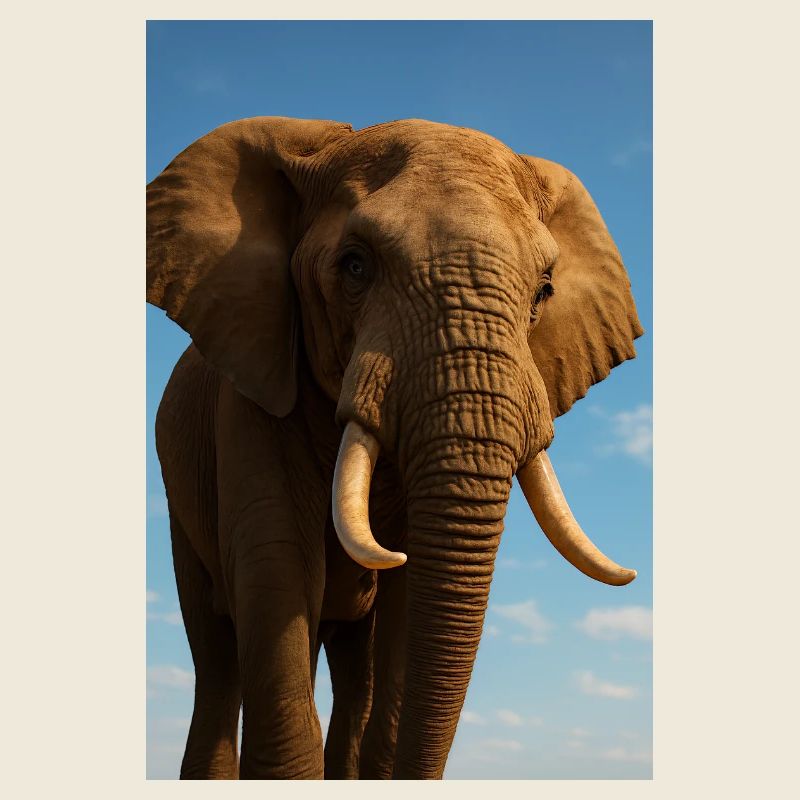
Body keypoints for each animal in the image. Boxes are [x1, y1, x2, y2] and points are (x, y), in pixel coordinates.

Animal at [147, 116, 643, 780]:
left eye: (544, 291)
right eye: (355, 267)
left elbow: (407, 606)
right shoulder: (251, 387)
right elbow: (277, 571)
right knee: (219, 662)